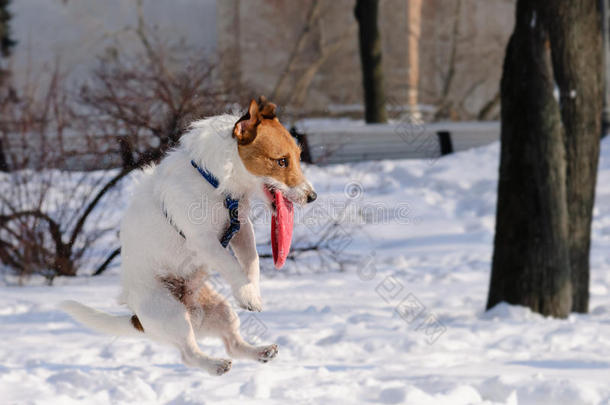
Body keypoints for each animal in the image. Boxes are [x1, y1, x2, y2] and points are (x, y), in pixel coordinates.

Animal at [60, 98, 316, 376]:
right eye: (281, 161)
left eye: (298, 157)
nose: (312, 197)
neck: (215, 181)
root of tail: (136, 318)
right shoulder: (204, 241)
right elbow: (230, 264)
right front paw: (248, 294)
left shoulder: (241, 228)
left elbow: (252, 261)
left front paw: (251, 291)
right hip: (171, 314)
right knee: (189, 354)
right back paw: (215, 364)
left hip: (220, 309)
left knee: (233, 344)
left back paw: (261, 351)